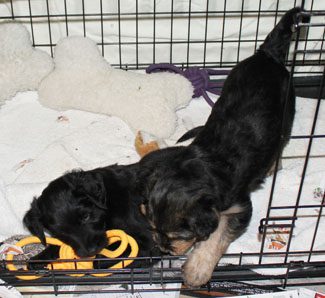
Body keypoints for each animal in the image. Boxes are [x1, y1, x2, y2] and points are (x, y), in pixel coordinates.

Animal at [22, 164, 158, 266]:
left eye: (86, 216)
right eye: (60, 233)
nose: (92, 250)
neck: (108, 201)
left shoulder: (147, 240)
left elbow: (99, 262)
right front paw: (39, 259)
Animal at [137, 7, 308, 286]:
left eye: (177, 237)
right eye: (153, 228)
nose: (163, 249)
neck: (201, 168)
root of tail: (268, 55)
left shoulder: (239, 208)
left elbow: (218, 234)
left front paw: (197, 270)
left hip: (288, 107)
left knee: (281, 140)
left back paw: (273, 164)